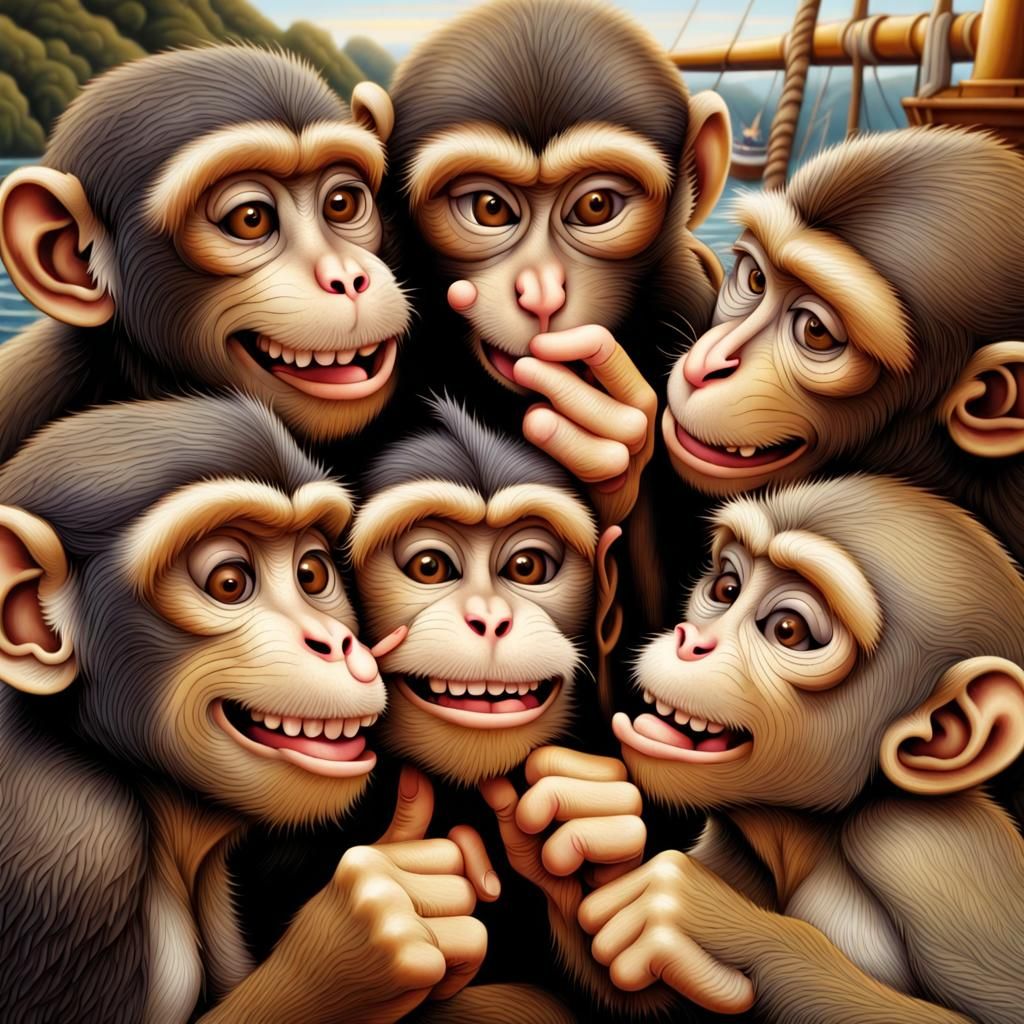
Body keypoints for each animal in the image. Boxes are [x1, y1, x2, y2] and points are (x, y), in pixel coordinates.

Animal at [557, 475, 1024, 1023]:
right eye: (726, 589)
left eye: (788, 629)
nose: (691, 640)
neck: (806, 835)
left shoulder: (927, 852)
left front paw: (707, 920)